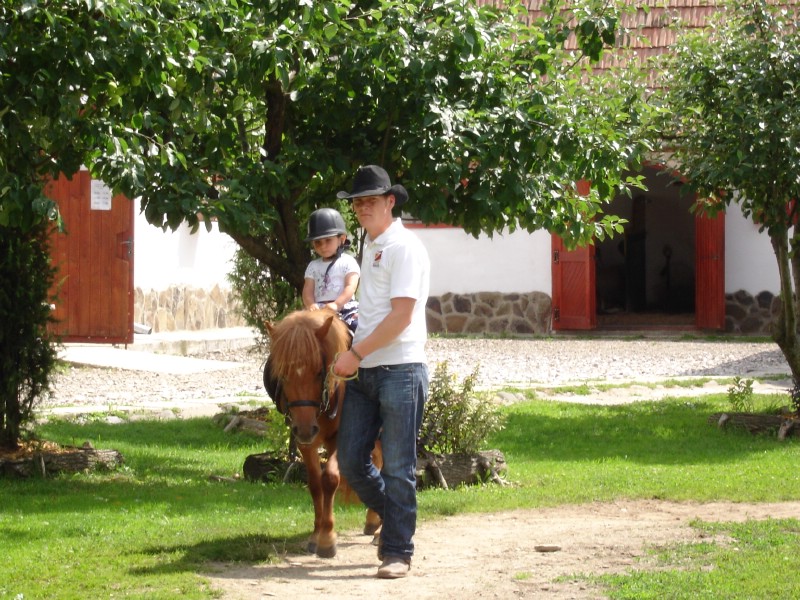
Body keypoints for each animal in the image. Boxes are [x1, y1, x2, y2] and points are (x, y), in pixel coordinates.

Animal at [262, 310, 382, 556]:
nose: (306, 428)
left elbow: (330, 479)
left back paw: (379, 531)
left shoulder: (340, 438)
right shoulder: (306, 442)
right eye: (283, 374)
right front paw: (316, 535)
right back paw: (372, 520)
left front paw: (327, 539)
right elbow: (316, 483)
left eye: (319, 372)